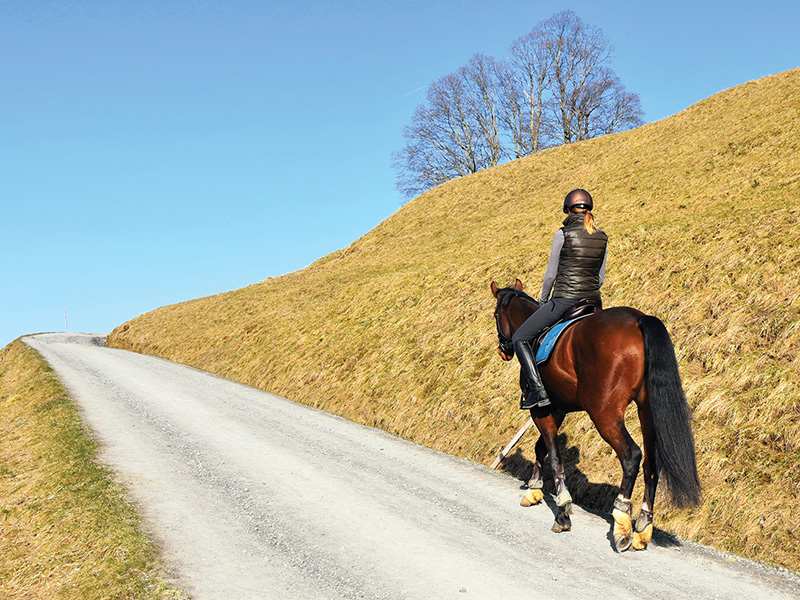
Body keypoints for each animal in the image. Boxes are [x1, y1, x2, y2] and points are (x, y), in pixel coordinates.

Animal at [491, 278, 701, 551]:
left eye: (496, 315)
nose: (503, 350)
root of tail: (639, 320)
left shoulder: (541, 409)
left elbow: (553, 455)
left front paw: (562, 511)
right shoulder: (557, 409)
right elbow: (541, 448)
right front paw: (534, 490)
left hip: (604, 414)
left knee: (631, 456)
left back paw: (622, 520)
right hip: (647, 412)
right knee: (651, 463)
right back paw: (643, 526)